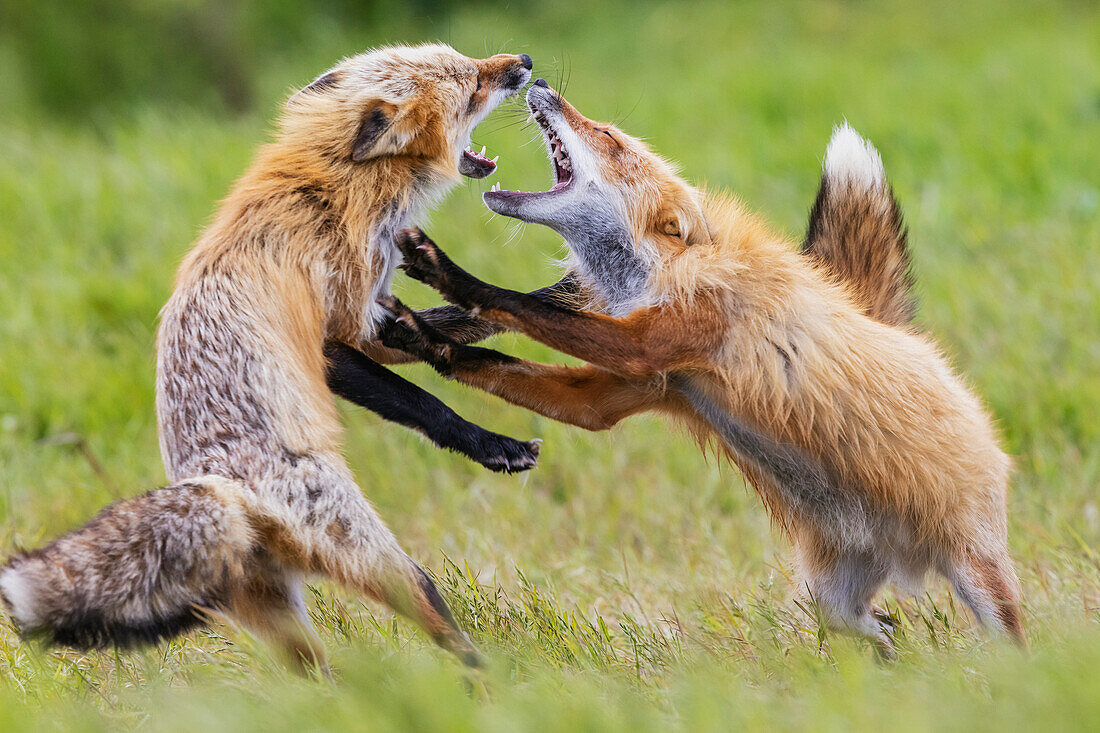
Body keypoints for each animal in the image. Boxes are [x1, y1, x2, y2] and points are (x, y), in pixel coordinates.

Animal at [0, 44, 534, 669]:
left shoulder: (371, 315)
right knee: (443, 628)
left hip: (286, 628)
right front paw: (491, 445)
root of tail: (229, 496)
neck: (336, 186)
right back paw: (492, 684)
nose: (523, 61)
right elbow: (425, 403)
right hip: (383, 561)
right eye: (473, 85)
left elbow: (458, 321)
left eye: (468, 59)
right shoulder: (334, 331)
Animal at [382, 81, 1025, 655]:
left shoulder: (657, 341)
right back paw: (891, 648)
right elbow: (502, 362)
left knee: (1010, 640)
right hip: (833, 596)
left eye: (609, 137)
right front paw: (421, 337)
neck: (664, 273)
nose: (542, 82)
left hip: (979, 574)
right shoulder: (638, 387)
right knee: (869, 626)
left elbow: (515, 302)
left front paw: (448, 274)